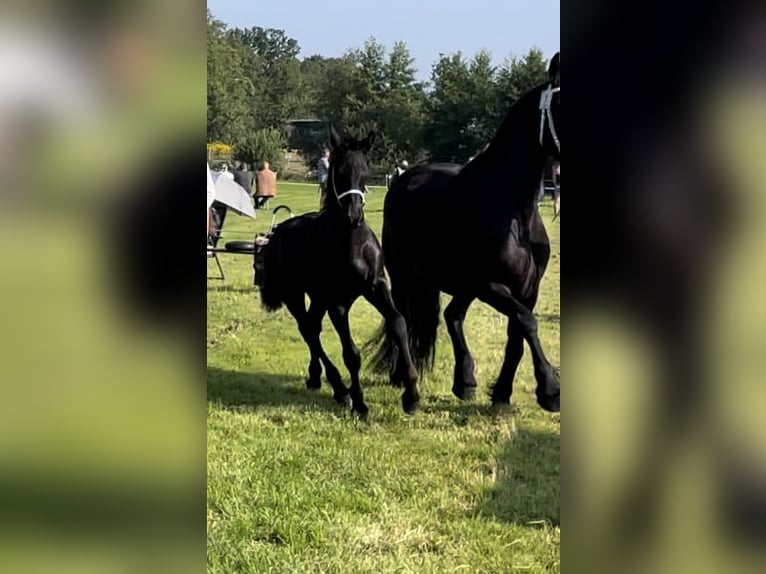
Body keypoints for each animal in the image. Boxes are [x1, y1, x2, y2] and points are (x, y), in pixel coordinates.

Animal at [254, 126, 420, 416]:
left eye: (365, 169)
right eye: (340, 171)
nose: (353, 216)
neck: (352, 244)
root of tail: (279, 231)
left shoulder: (376, 286)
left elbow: (398, 322)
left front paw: (411, 395)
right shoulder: (337, 303)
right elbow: (351, 354)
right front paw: (360, 403)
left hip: (317, 298)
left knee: (312, 326)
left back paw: (315, 377)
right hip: (295, 294)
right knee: (307, 329)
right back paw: (339, 389)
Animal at [368, 50, 560, 414]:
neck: (515, 212)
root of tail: (404, 179)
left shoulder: (527, 289)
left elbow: (517, 336)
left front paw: (502, 394)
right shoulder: (491, 285)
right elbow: (528, 323)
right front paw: (550, 390)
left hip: (456, 282)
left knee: (451, 314)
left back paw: (464, 381)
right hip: (406, 276)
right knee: (404, 317)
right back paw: (403, 377)